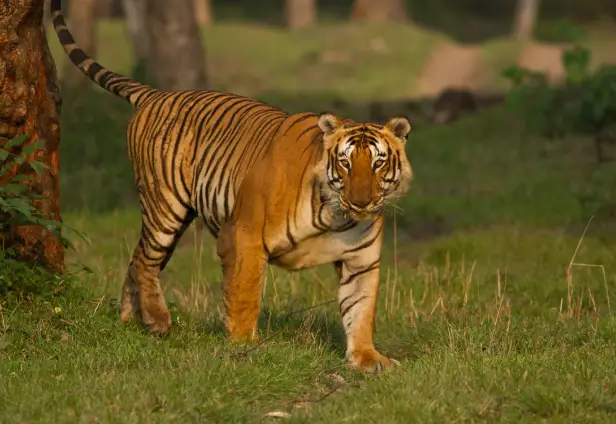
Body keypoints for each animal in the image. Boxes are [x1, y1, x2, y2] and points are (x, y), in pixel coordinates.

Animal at [51, 0, 414, 372]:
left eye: (378, 163)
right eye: (345, 163)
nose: (361, 203)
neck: (338, 215)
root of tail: (157, 94)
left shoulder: (361, 260)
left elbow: (361, 309)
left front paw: (368, 358)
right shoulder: (244, 235)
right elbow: (245, 292)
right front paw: (244, 344)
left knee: (136, 258)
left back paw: (129, 321)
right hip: (164, 205)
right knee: (146, 261)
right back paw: (157, 320)